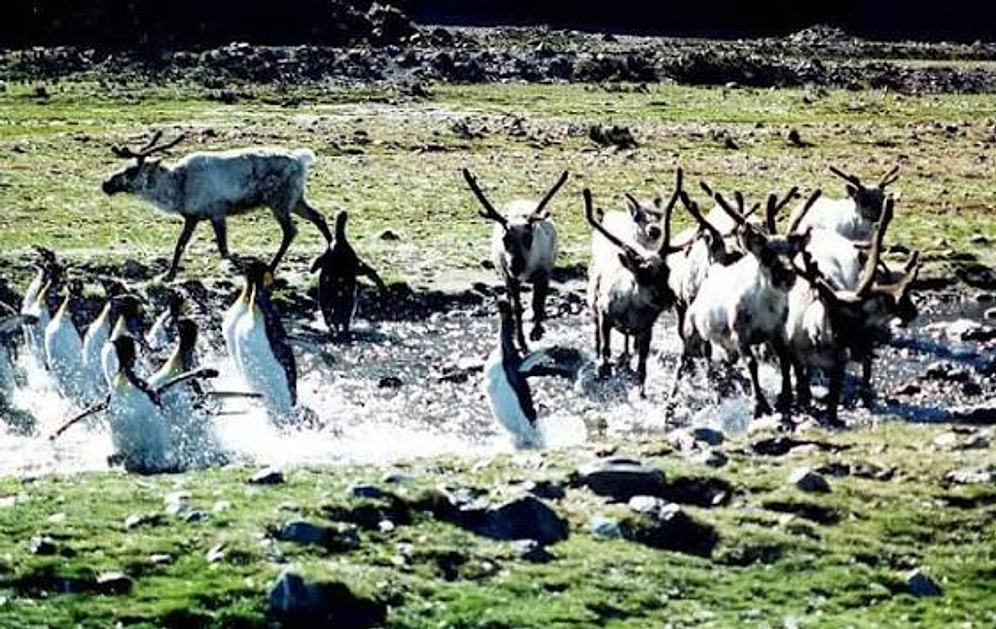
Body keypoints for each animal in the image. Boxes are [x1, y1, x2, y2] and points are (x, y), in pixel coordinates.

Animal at [102, 131, 333, 281]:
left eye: (132, 170)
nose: (106, 183)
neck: (179, 186)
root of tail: (301, 160)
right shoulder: (192, 216)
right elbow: (180, 244)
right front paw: (169, 274)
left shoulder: (217, 213)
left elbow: (223, 249)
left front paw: (240, 265)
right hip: (296, 200)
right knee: (318, 217)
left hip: (279, 201)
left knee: (291, 230)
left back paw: (271, 266)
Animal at [462, 168, 568, 352]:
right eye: (505, 238)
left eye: (529, 238)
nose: (516, 266)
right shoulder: (509, 278)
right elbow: (517, 308)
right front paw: (521, 341)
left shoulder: (544, 273)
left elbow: (538, 303)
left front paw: (536, 332)